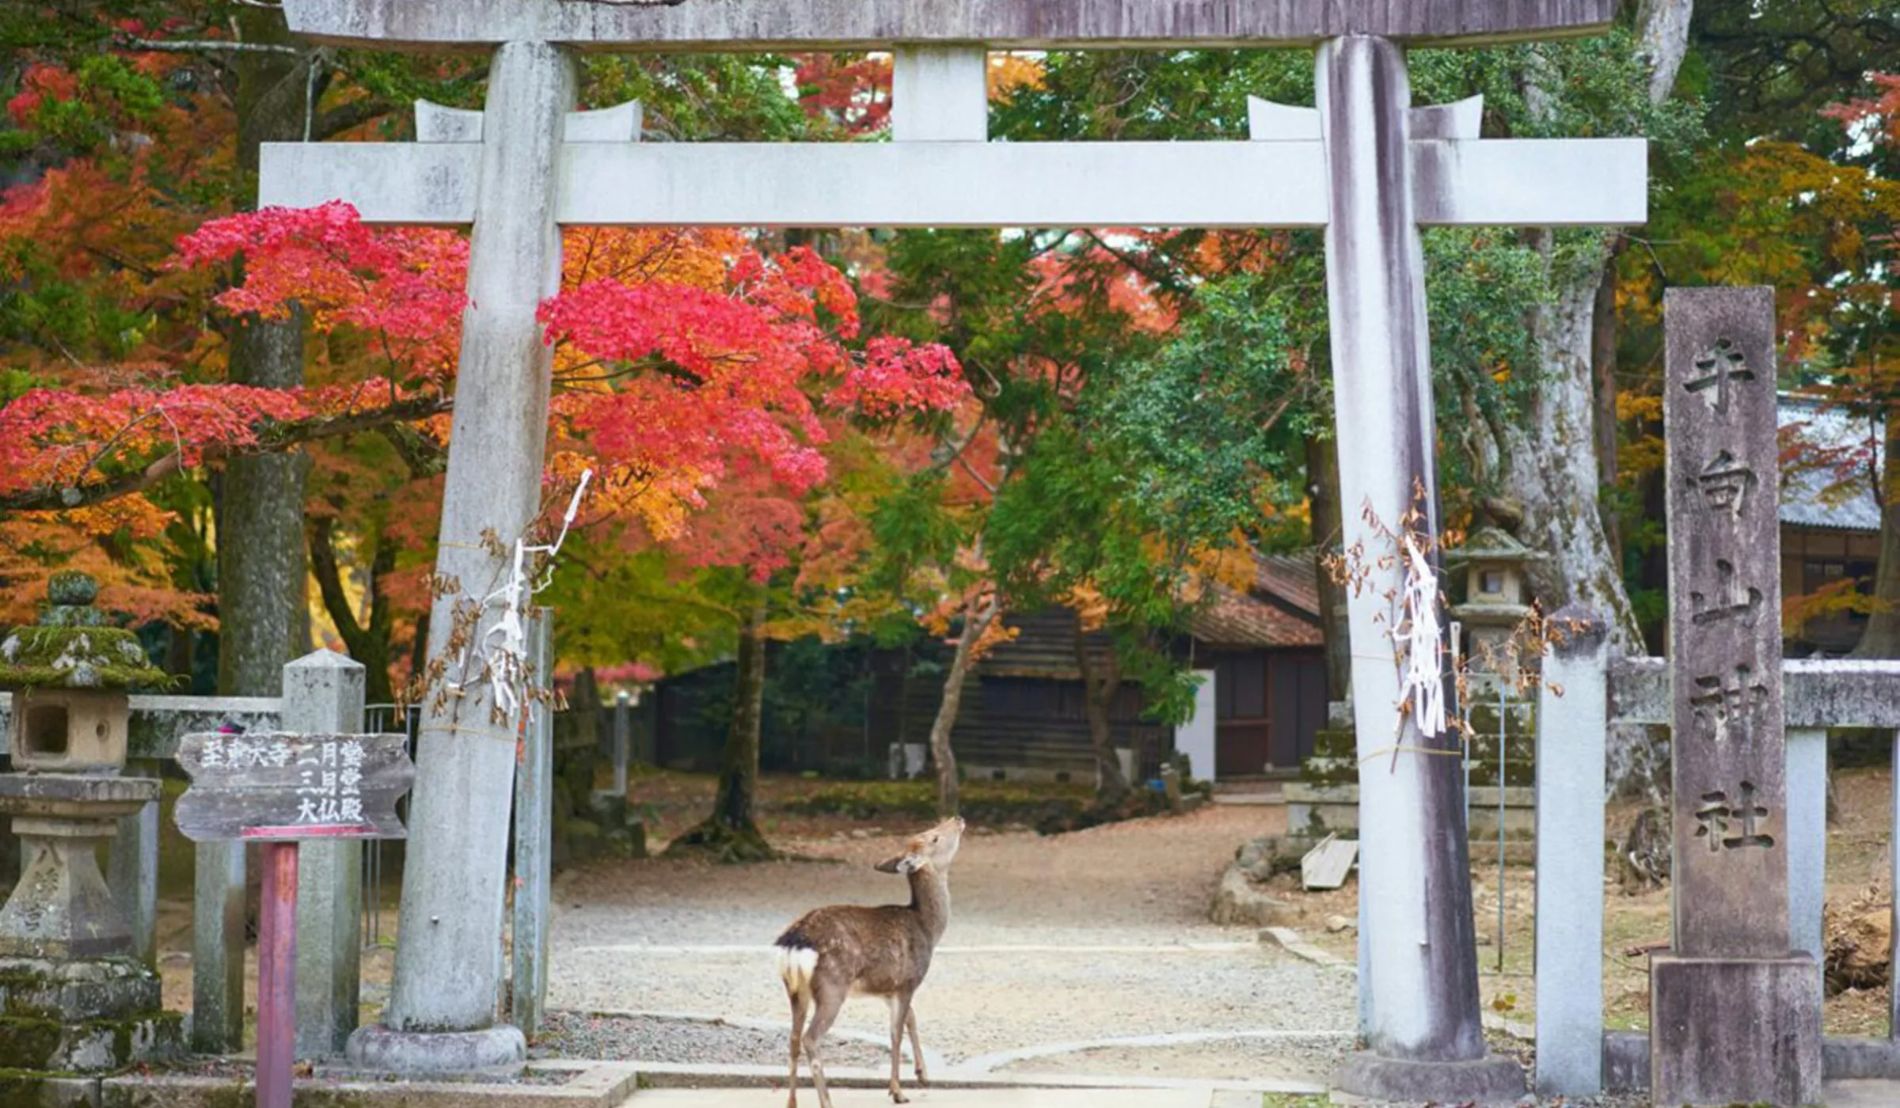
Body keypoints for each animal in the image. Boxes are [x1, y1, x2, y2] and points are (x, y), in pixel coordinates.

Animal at [773, 815, 965, 1108]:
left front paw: (923, 1075)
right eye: (934, 837)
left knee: (793, 1038)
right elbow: (896, 1034)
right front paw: (898, 1091)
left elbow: (911, 1019)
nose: (957, 818)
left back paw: (791, 1102)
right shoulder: (908, 980)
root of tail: (794, 943)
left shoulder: (887, 987)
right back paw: (826, 1101)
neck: (928, 929)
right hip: (832, 986)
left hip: (795, 989)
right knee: (810, 1038)